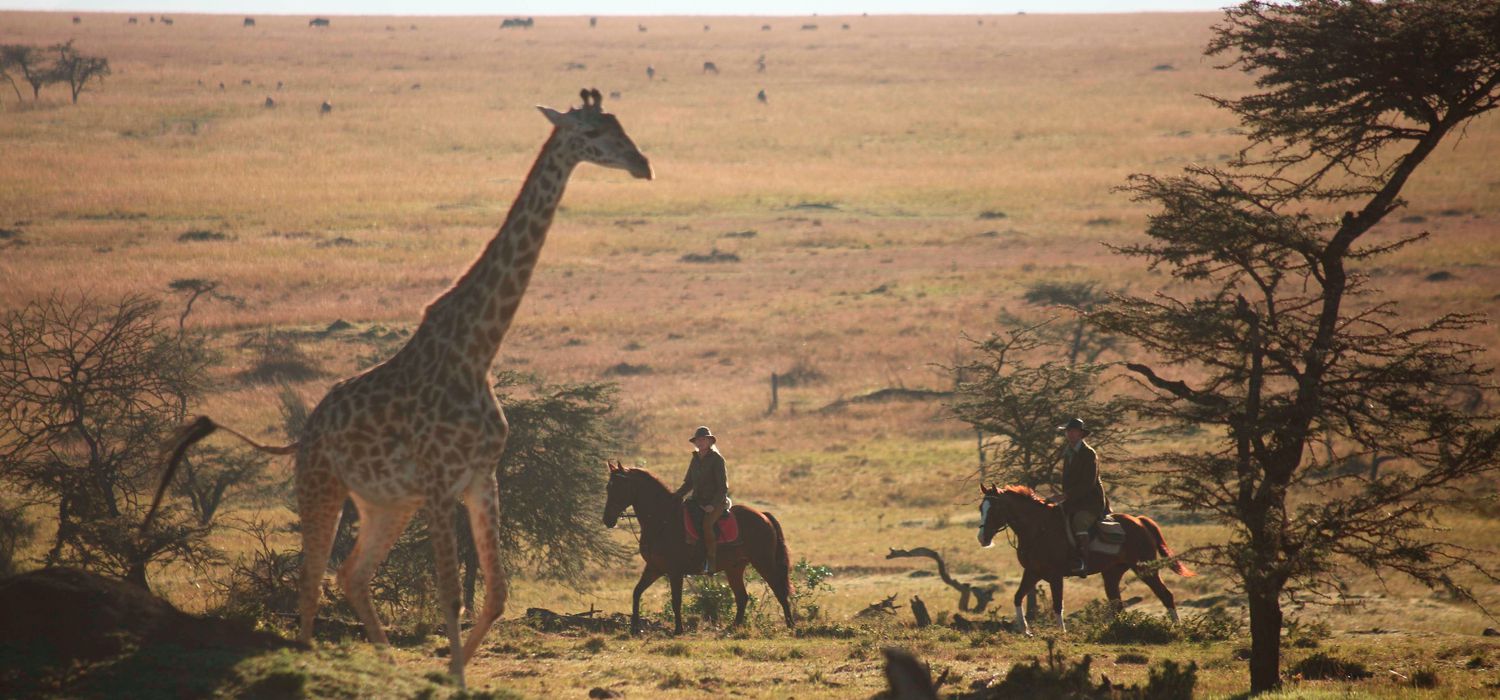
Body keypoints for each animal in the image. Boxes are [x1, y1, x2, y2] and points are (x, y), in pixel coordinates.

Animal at [144, 86, 651, 686]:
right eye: (593, 134)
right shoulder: (437, 482)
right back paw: (307, 663)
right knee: (311, 580)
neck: (475, 351)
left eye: (621, 125)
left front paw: (447, 674)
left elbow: (497, 594)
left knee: (351, 575)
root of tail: (304, 432)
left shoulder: (481, 476)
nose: (643, 165)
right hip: (322, 484)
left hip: (384, 503)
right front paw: (454, 681)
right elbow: (451, 593)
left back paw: (387, 667)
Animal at [603, 461, 804, 638]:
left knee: (778, 590)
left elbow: (676, 600)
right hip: (735, 568)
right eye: (608, 488)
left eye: (618, 487)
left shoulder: (674, 571)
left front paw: (678, 630)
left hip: (763, 561)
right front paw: (634, 628)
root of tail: (763, 515)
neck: (663, 520)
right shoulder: (654, 568)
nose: (607, 520)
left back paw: (790, 626)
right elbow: (637, 592)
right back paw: (733, 628)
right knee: (742, 597)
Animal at [972, 485, 1194, 638]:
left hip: (1145, 569)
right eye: (980, 508)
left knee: (1166, 595)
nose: (982, 538)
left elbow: (1057, 604)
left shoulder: (1055, 576)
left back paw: (1177, 629)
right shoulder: (1033, 572)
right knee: (1118, 604)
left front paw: (1061, 633)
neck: (1038, 529)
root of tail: (1140, 521)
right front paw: (1025, 630)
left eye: (994, 509)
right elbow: (1018, 598)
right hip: (1112, 574)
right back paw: (1120, 629)